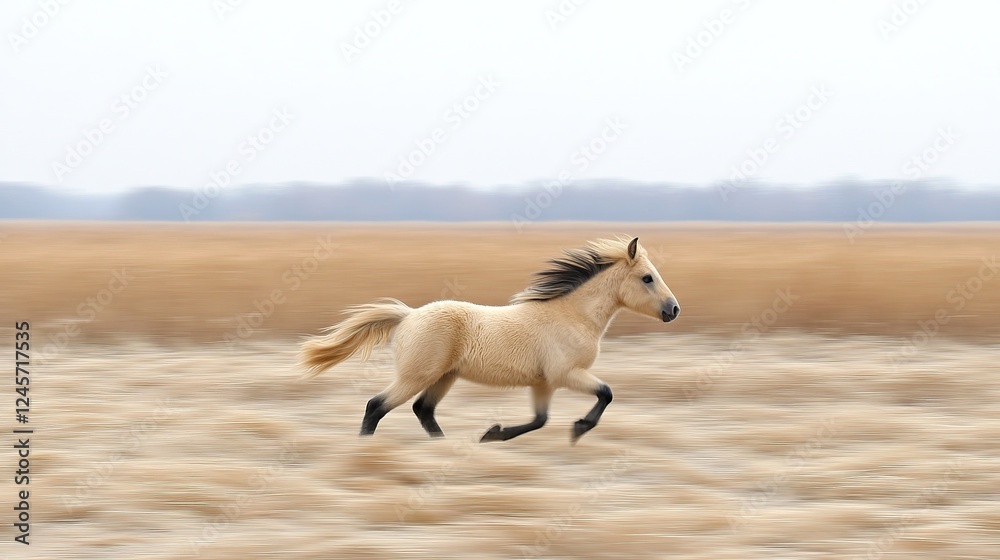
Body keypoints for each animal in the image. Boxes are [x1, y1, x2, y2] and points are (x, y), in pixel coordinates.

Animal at [300, 236, 679, 443]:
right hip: (416, 376)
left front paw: (491, 434)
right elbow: (606, 393)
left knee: (423, 410)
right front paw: (579, 428)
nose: (673, 310)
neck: (573, 316)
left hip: (444, 377)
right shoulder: (567, 374)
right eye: (647, 278)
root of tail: (408, 316)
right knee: (376, 406)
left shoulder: (544, 383)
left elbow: (540, 420)